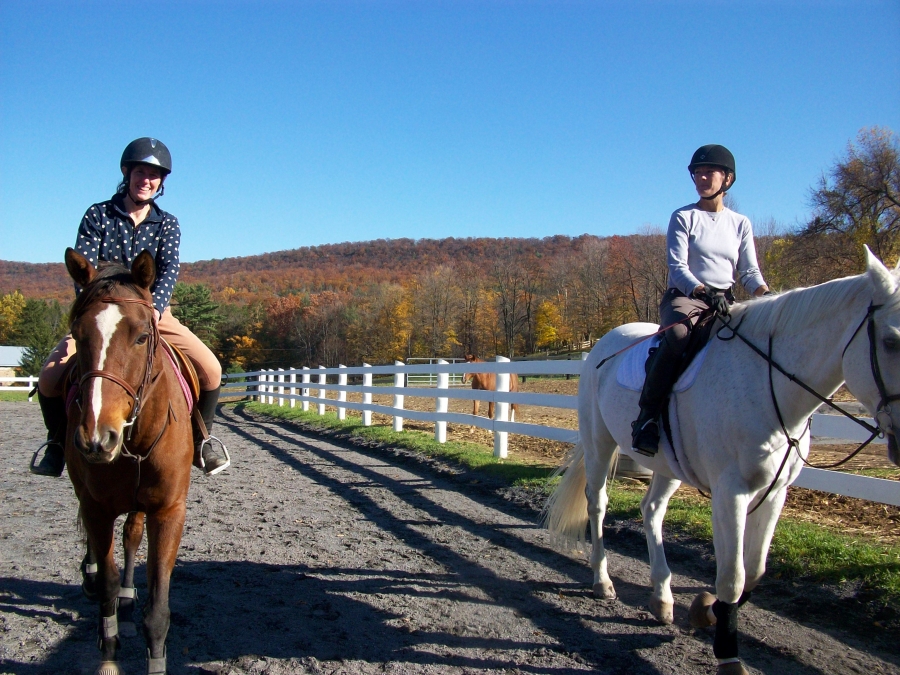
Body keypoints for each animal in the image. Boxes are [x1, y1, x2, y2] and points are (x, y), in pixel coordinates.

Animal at [63, 251, 193, 675]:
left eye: (141, 337)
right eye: (78, 334)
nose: (97, 438)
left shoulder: (167, 511)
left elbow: (158, 612)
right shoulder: (97, 508)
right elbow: (105, 582)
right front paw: (108, 653)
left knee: (132, 535)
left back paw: (127, 594)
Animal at [544, 248, 900, 675]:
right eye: (891, 340)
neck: (769, 383)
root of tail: (605, 341)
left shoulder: (775, 492)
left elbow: (754, 571)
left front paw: (704, 611)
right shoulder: (730, 494)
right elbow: (733, 576)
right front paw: (727, 653)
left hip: (667, 464)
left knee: (652, 510)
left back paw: (662, 596)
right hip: (601, 444)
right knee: (597, 505)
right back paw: (602, 580)